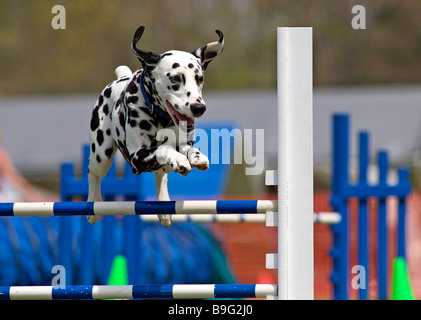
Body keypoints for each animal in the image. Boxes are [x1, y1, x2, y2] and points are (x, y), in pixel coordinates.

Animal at [88, 26, 223, 226]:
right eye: (176, 78)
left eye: (199, 78)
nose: (199, 108)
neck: (161, 118)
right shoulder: (137, 157)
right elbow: (164, 149)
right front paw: (179, 158)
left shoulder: (182, 145)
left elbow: (186, 150)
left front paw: (197, 157)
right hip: (101, 155)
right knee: (92, 171)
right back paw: (93, 202)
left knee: (161, 174)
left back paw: (163, 203)